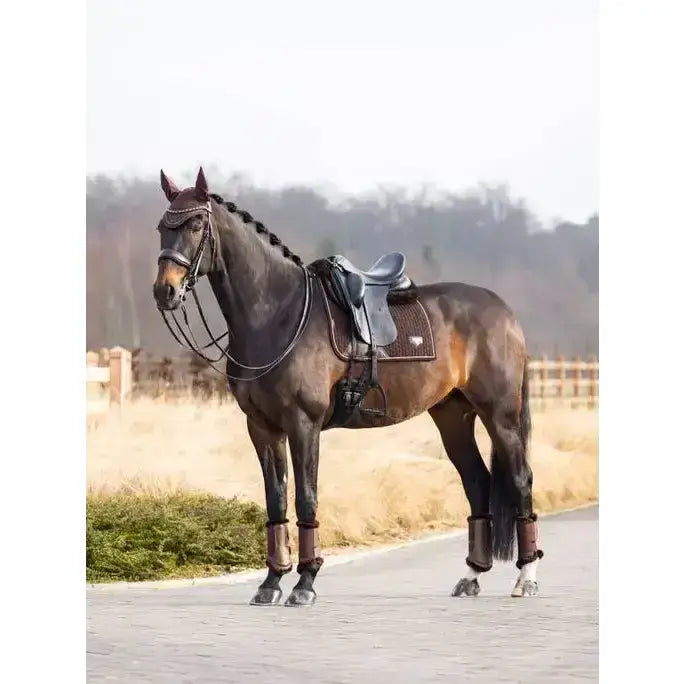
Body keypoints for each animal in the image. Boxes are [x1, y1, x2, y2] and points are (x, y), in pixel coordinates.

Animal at [152, 167, 543, 606]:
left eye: (195, 224)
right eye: (161, 227)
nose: (165, 291)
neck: (278, 315)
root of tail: (505, 312)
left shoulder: (303, 425)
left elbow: (306, 497)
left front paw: (304, 583)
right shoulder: (262, 428)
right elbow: (275, 501)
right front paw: (270, 583)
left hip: (501, 415)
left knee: (520, 480)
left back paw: (526, 577)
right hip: (453, 415)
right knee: (477, 482)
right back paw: (472, 575)